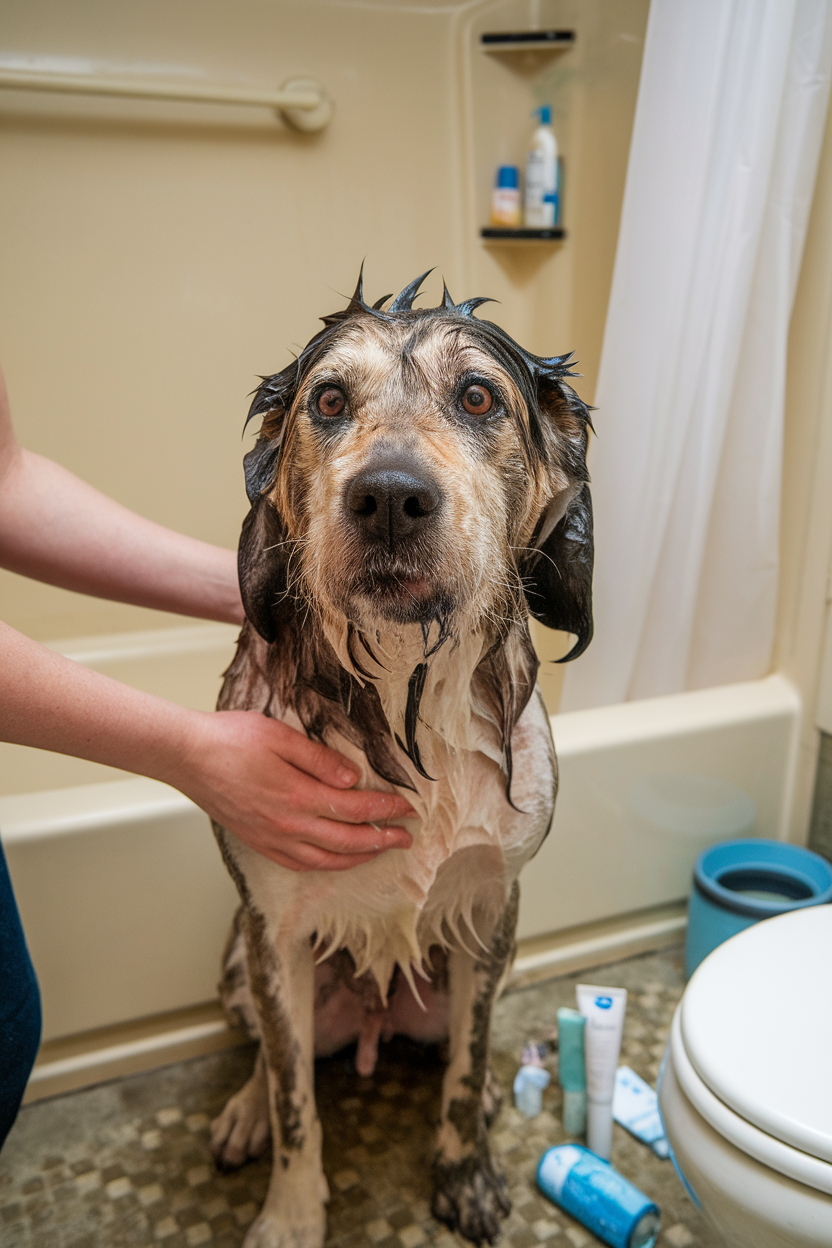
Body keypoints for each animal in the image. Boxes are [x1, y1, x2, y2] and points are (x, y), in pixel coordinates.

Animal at [212, 275, 596, 1248]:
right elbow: (297, 1103)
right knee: (272, 1057)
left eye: (478, 397)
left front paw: (467, 1174)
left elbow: (464, 1067)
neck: (403, 694)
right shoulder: (273, 930)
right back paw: (244, 1112)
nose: (389, 496)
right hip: (240, 963)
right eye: (328, 401)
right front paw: (290, 1213)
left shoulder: (493, 906)